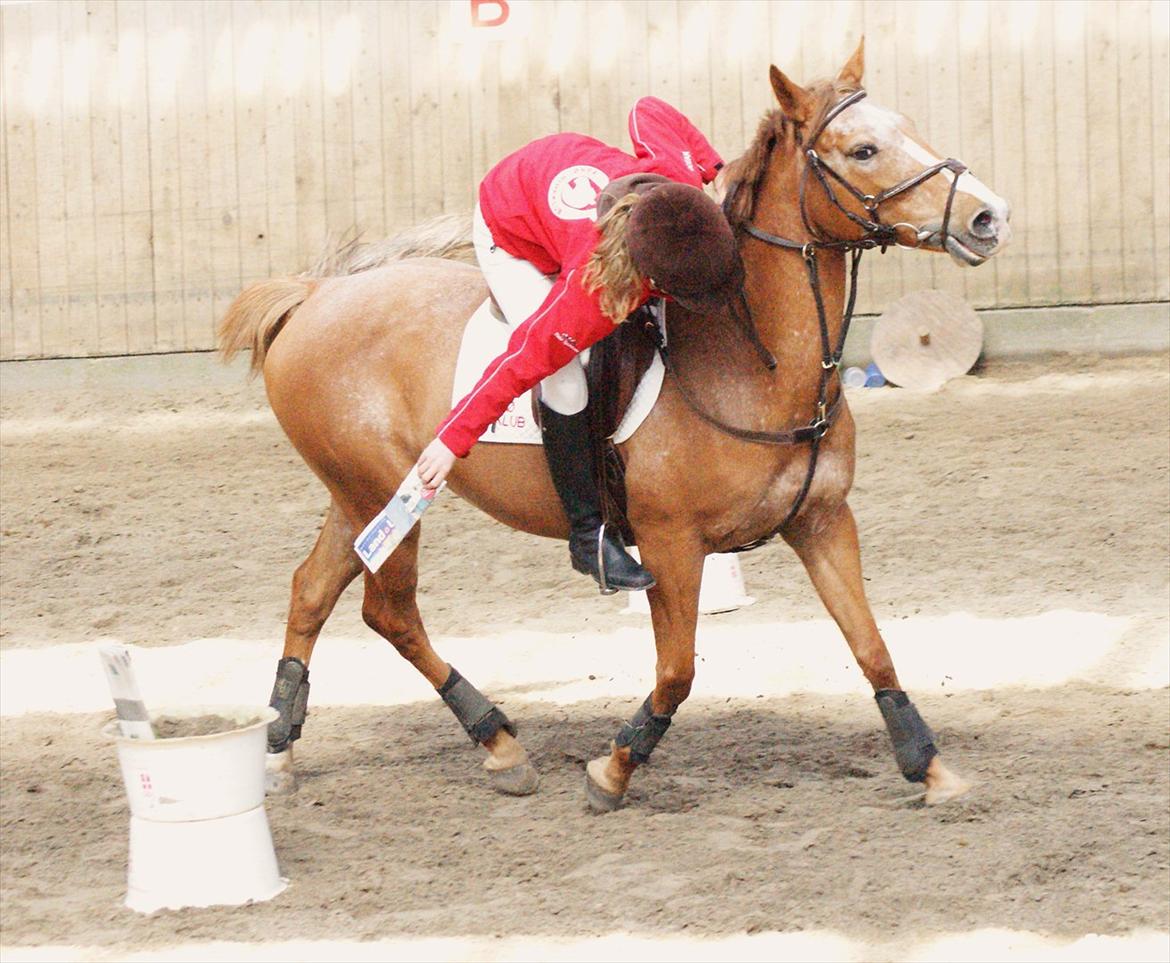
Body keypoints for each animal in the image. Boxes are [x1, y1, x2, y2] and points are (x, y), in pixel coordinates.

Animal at [218, 40, 1011, 811]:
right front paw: (615, 769)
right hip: (382, 493)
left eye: (908, 126)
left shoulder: (822, 521)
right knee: (392, 613)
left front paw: (928, 765)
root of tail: (315, 293)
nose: (987, 216)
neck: (750, 361)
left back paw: (280, 747)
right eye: (864, 150)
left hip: (358, 498)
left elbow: (873, 647)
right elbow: (677, 670)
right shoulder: (671, 544)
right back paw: (496, 741)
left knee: (313, 590)